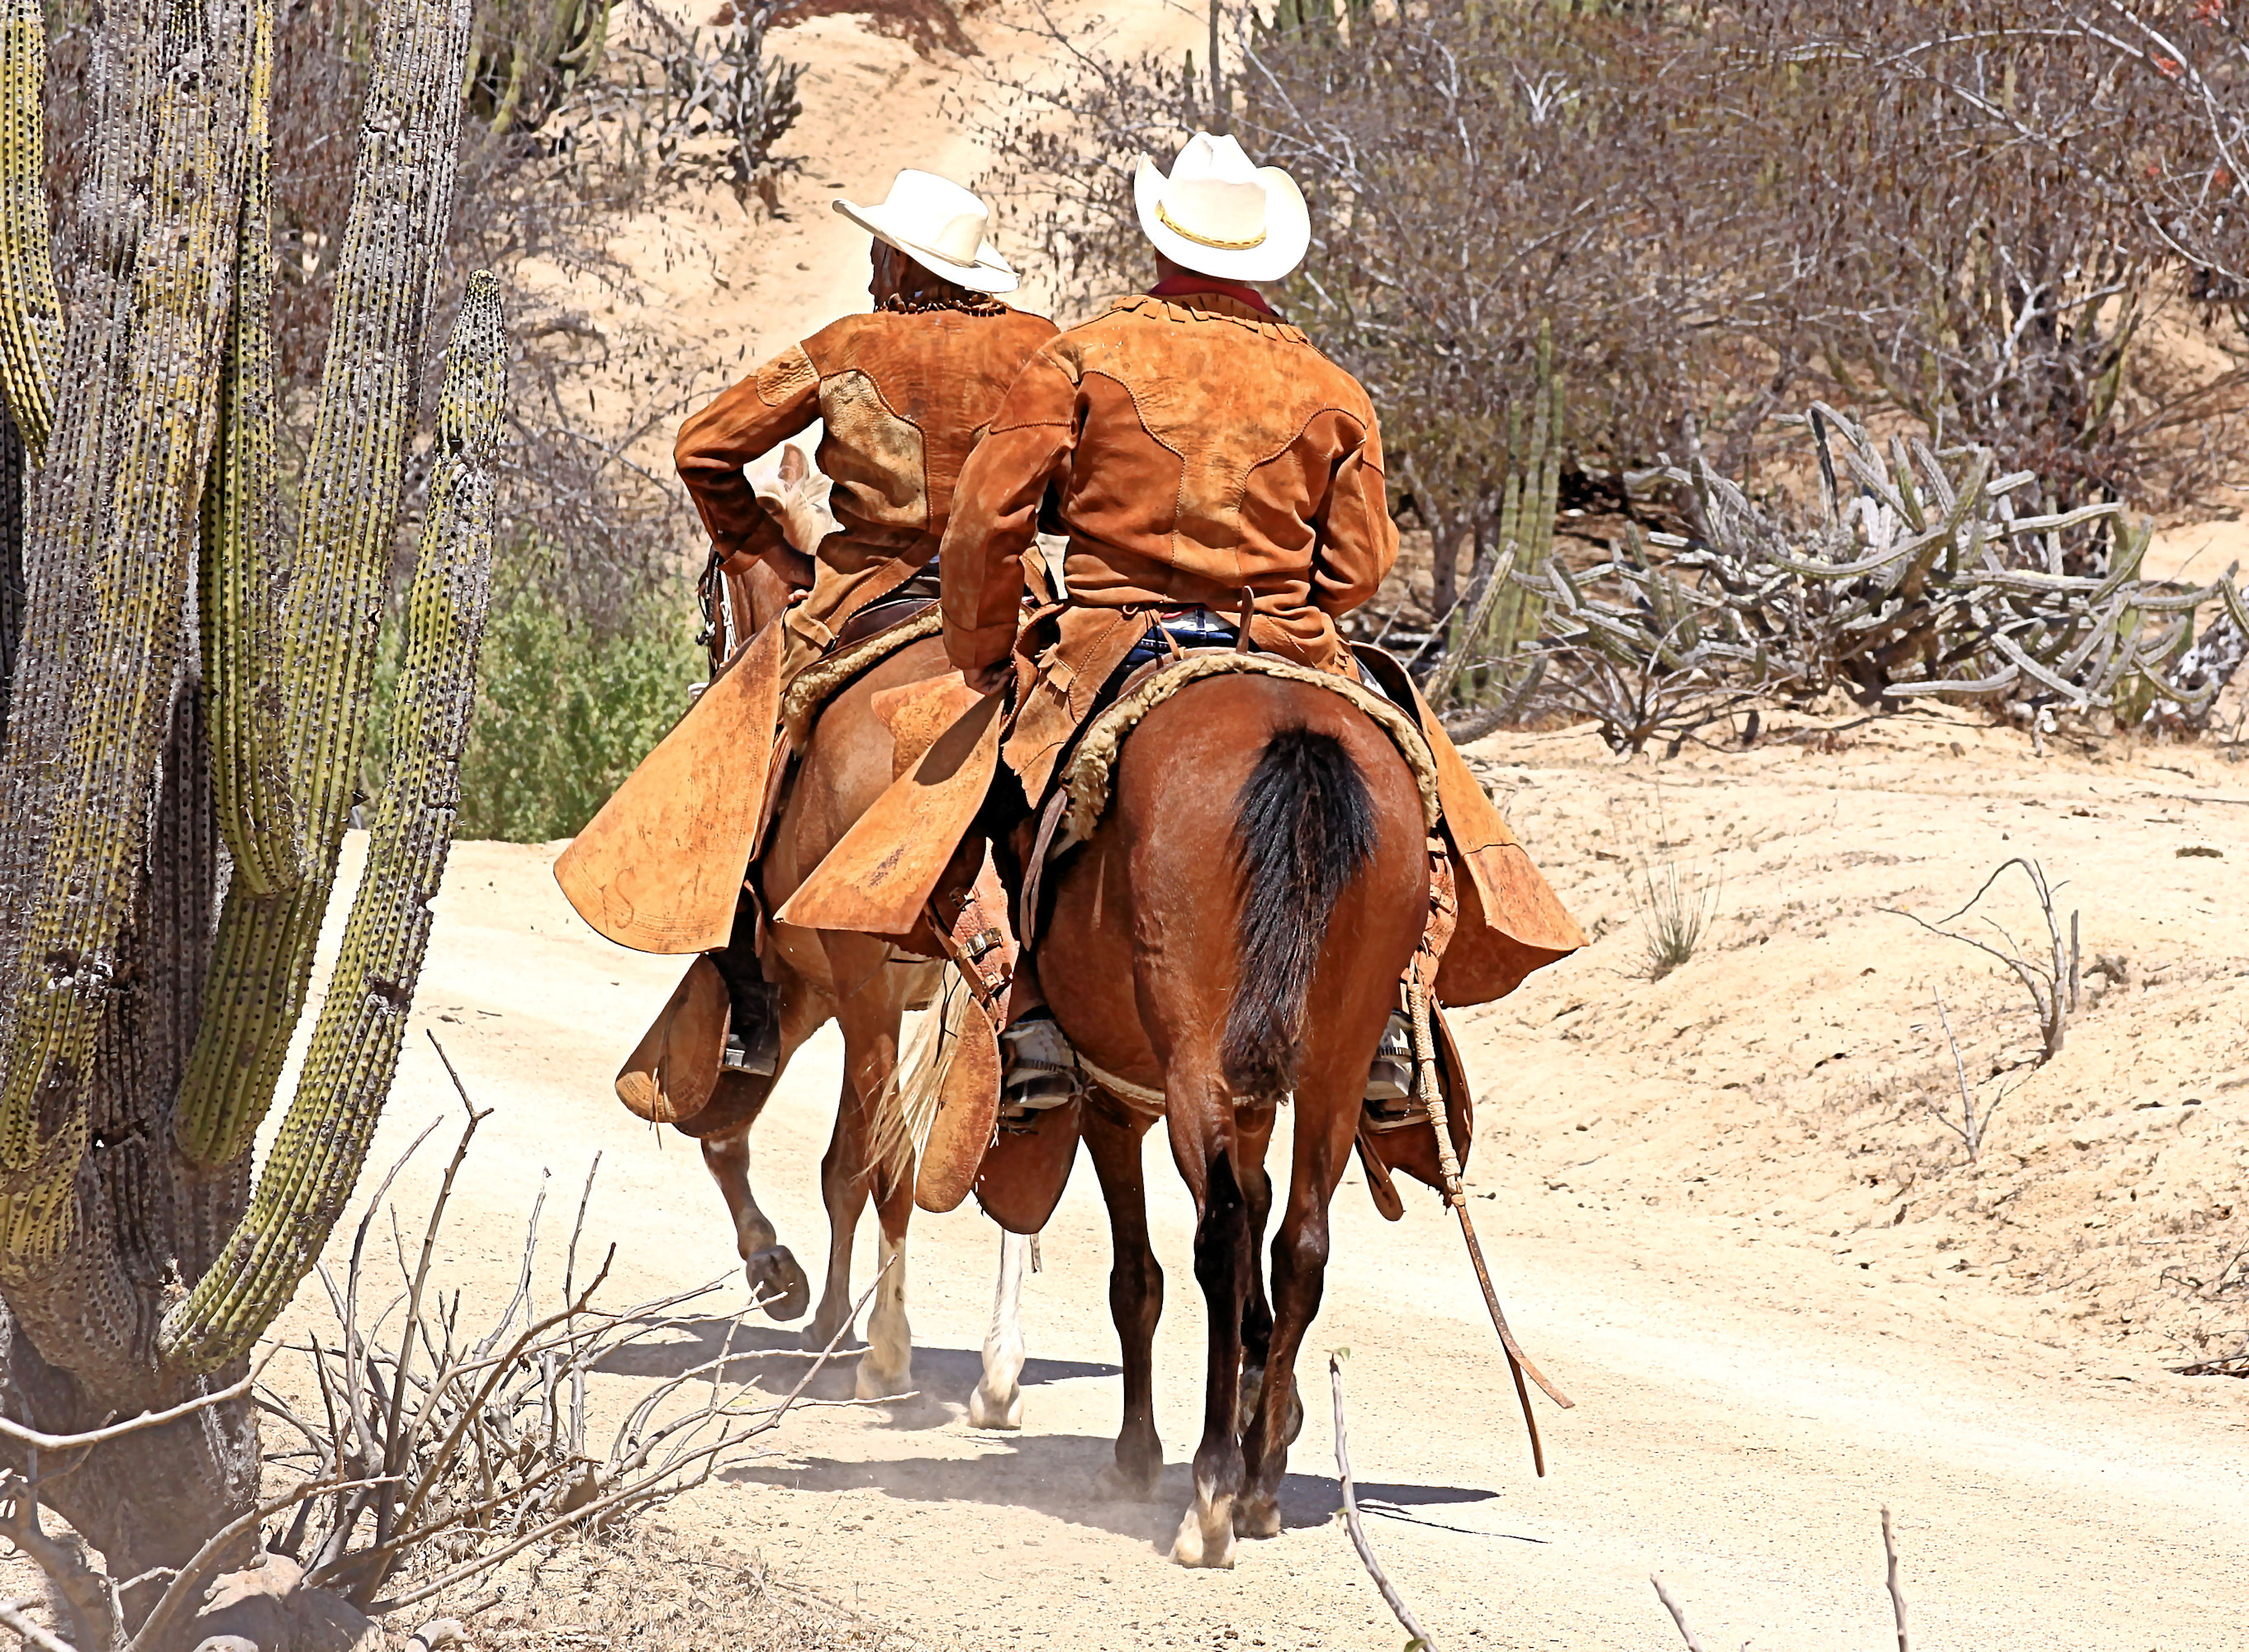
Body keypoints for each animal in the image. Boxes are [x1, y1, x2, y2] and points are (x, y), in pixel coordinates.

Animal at [1030, 670, 1421, 1566]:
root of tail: (1294, 733)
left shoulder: (1112, 1103)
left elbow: (1136, 1279)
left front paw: (1138, 1454)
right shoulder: (1254, 1101)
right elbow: (1263, 1224)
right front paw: (1265, 1399)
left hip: (1194, 1059)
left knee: (1221, 1233)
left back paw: (1211, 1487)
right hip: (1336, 1063)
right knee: (1298, 1243)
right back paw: (1260, 1481)